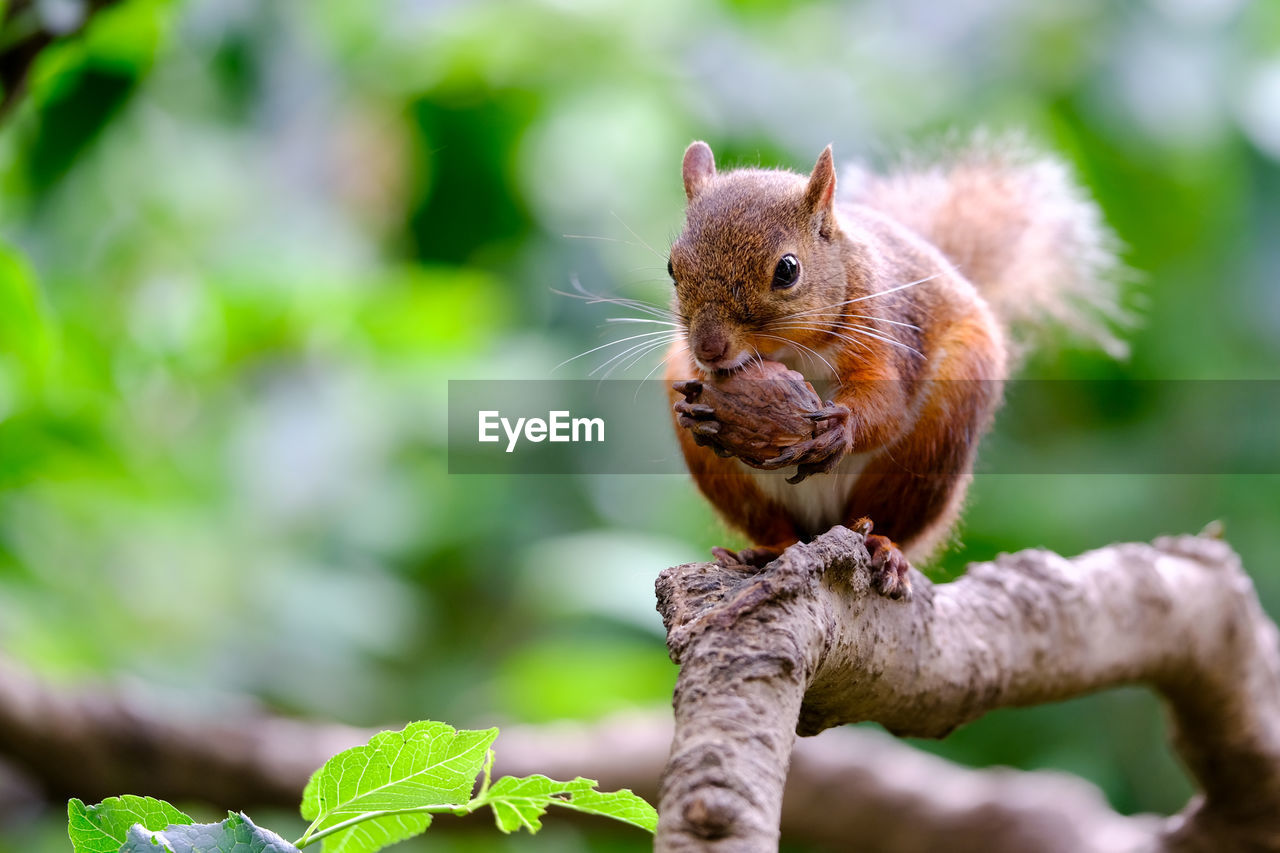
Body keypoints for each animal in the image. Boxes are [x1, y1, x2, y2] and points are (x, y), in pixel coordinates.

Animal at [665, 134, 1126, 596]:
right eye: (672, 267)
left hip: (931, 446)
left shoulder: (889, 333)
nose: (709, 349)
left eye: (787, 270)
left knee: (887, 518)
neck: (790, 352)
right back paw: (766, 551)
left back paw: (886, 549)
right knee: (777, 528)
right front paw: (694, 410)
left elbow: (888, 403)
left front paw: (841, 427)